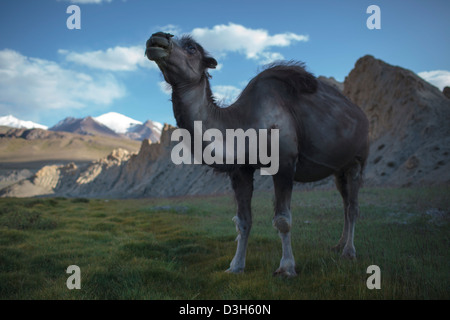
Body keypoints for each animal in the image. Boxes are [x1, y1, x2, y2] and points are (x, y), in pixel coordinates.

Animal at [145, 31, 370, 276]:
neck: (243, 122)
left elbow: (282, 220)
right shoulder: (241, 170)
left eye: (192, 48)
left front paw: (286, 268)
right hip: (339, 169)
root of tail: (362, 115)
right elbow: (243, 221)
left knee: (353, 207)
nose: (157, 39)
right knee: (345, 202)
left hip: (358, 159)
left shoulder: (284, 163)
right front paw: (235, 266)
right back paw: (338, 245)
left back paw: (349, 252)